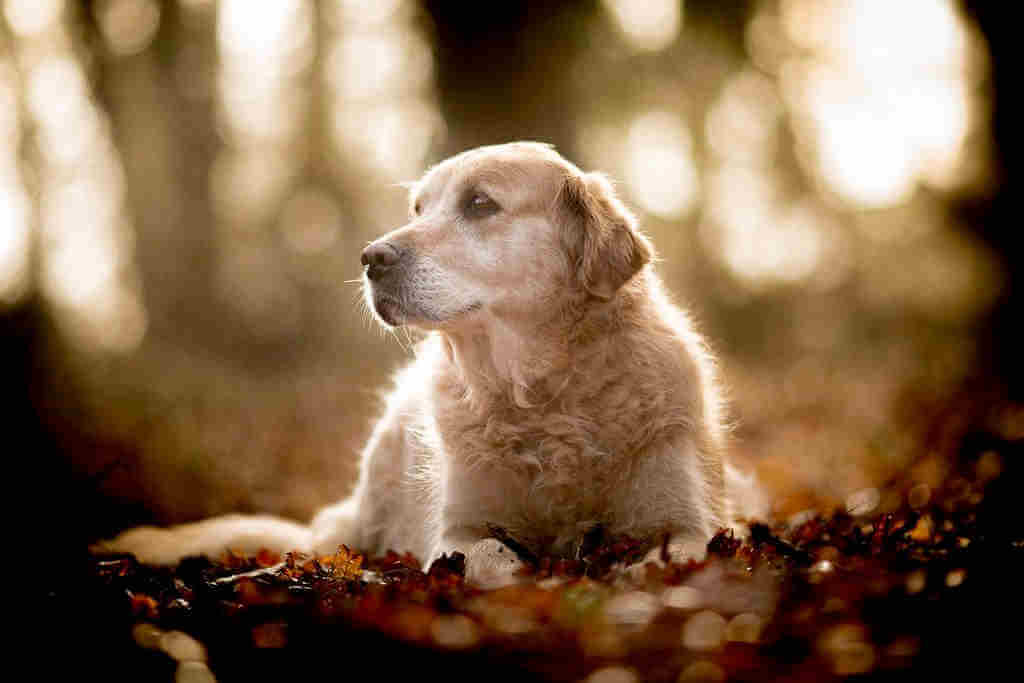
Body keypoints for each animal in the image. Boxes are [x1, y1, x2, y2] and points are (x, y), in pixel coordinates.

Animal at [97, 141, 761, 585]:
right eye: (419, 208)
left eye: (480, 203)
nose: (371, 258)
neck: (542, 393)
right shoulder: (459, 531)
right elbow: (494, 558)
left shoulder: (688, 518)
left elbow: (674, 551)